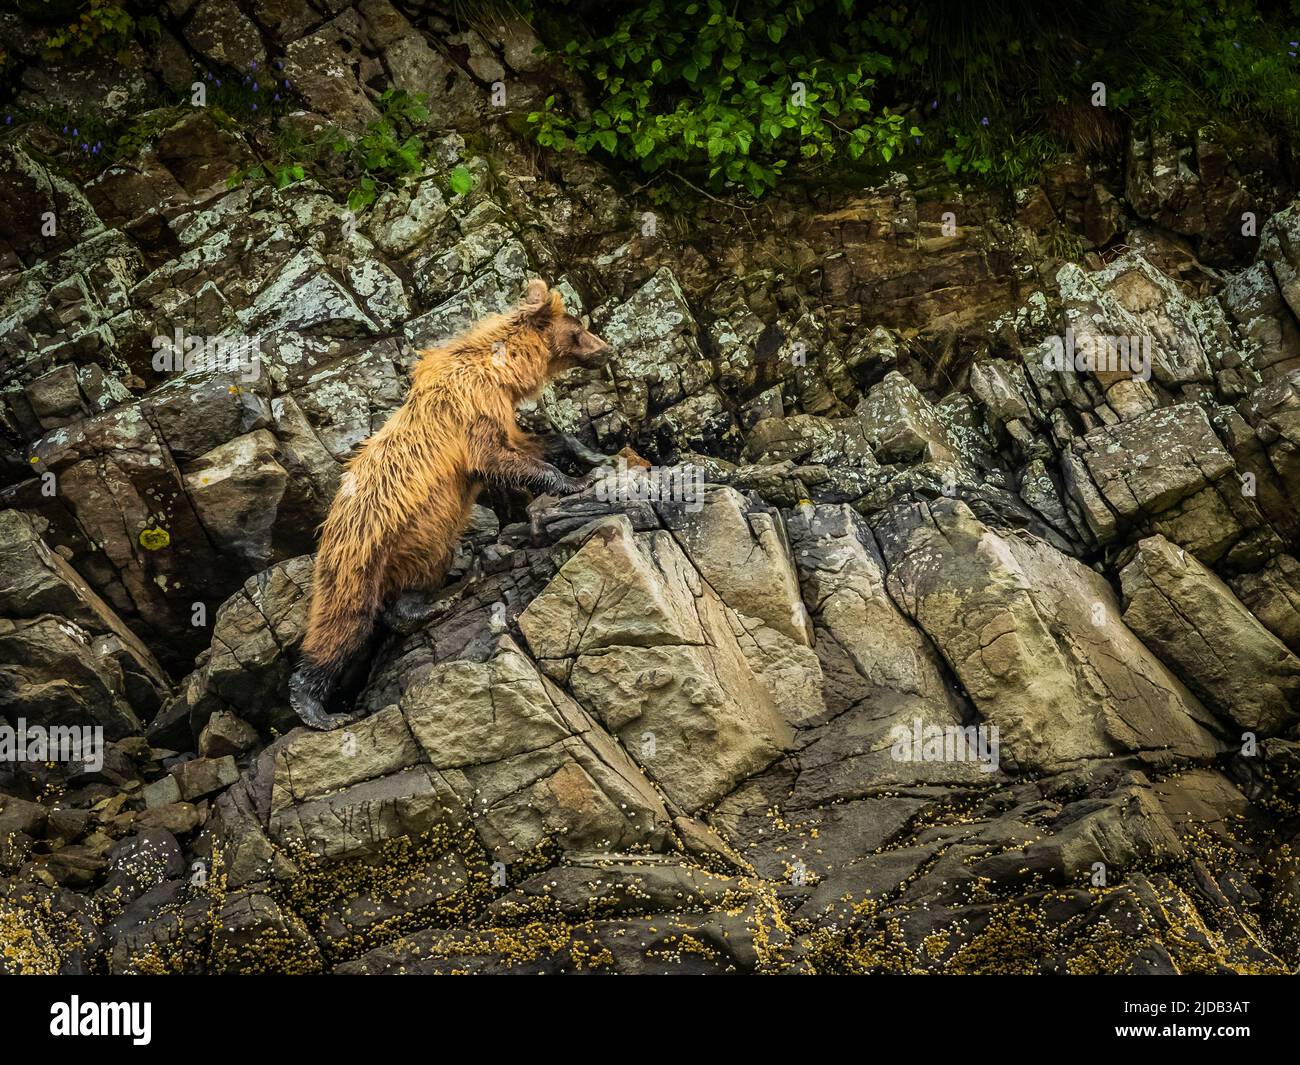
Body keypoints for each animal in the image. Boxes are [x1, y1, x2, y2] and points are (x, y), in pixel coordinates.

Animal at [289, 279, 611, 730]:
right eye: (578, 329)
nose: (607, 349)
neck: (501, 370)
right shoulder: (473, 407)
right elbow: (496, 458)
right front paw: (577, 479)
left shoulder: (499, 409)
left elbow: (530, 443)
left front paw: (590, 454)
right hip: (375, 545)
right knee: (346, 619)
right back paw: (318, 706)